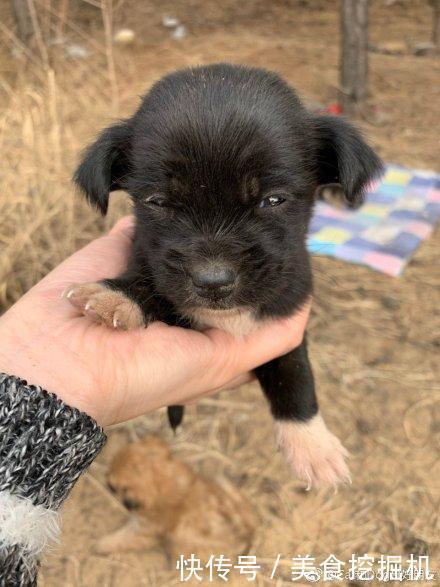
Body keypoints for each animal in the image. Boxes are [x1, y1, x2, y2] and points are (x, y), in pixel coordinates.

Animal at [64, 63, 382, 492]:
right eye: (158, 202)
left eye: (273, 200)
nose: (213, 282)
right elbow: (154, 283)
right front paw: (121, 294)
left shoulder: (288, 321)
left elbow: (294, 373)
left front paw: (311, 444)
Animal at [96, 436, 254, 560]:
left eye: (113, 486)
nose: (106, 476)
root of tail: (248, 534)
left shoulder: (145, 531)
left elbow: (122, 539)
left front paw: (100, 545)